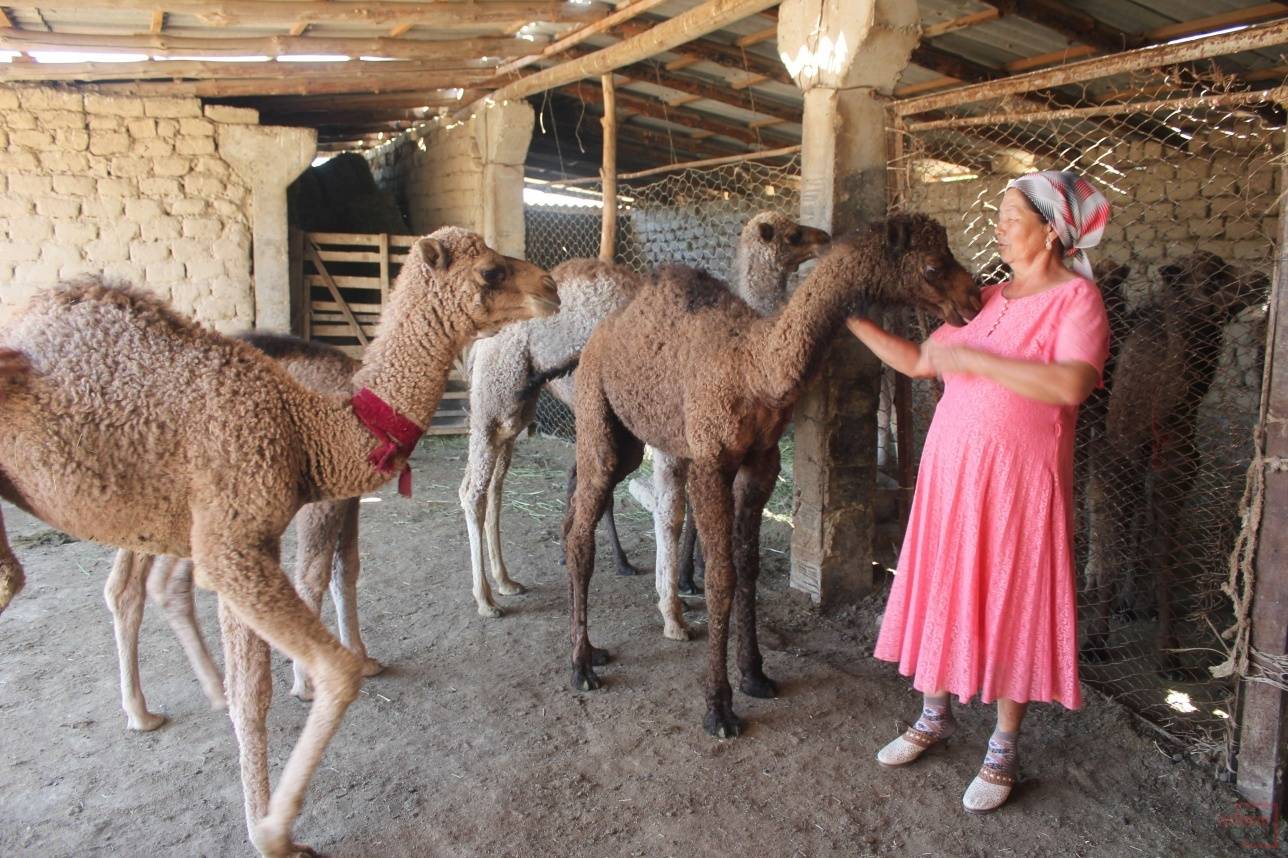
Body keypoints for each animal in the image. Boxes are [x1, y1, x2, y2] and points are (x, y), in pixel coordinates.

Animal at [104, 334, 376, 726]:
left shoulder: (349, 492)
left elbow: (347, 566)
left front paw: (363, 658)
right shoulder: (326, 494)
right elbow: (315, 573)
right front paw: (306, 684)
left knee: (142, 585)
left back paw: (179, 700)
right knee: (135, 586)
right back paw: (149, 710)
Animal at [561, 213, 973, 736]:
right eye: (933, 266)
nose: (973, 299)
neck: (754, 367)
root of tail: (596, 339)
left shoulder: (762, 461)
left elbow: (749, 567)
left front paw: (755, 674)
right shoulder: (710, 461)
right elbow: (721, 576)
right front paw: (719, 707)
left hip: (632, 441)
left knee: (583, 508)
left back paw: (592, 648)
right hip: (596, 411)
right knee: (582, 531)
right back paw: (581, 665)